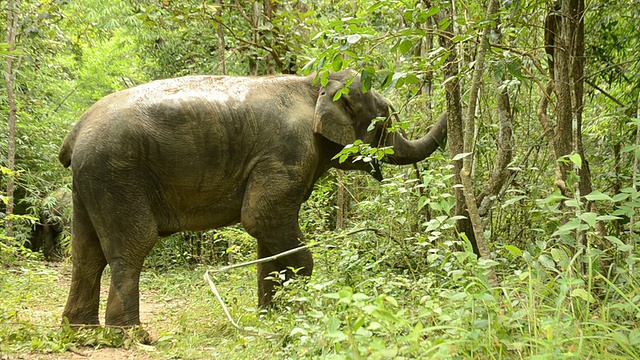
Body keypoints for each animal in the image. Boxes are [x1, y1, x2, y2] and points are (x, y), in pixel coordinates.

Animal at [57, 69, 448, 328]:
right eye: (385, 120)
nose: (447, 105)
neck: (314, 83)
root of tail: (76, 132)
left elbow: (266, 238)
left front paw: (269, 318)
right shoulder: (287, 150)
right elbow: (260, 218)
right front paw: (298, 310)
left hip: (89, 180)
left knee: (86, 251)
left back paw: (79, 329)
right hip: (116, 172)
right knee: (132, 245)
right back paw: (130, 334)